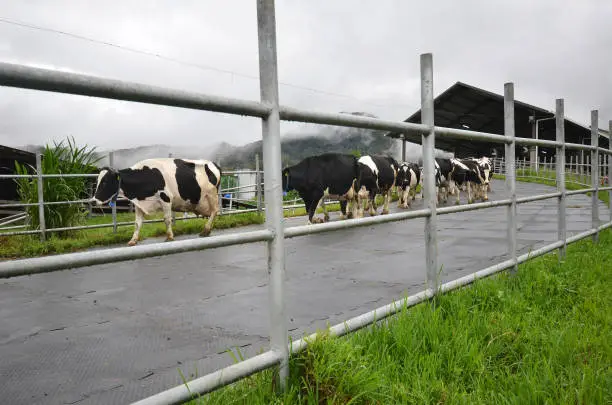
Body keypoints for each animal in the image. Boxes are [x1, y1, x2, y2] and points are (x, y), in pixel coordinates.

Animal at [92, 158, 221, 246]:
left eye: (105, 182)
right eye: (97, 181)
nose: (93, 201)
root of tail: (213, 163)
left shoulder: (166, 199)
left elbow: (167, 219)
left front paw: (169, 237)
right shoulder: (139, 204)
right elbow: (137, 223)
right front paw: (133, 240)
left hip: (212, 195)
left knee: (215, 211)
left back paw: (206, 230)